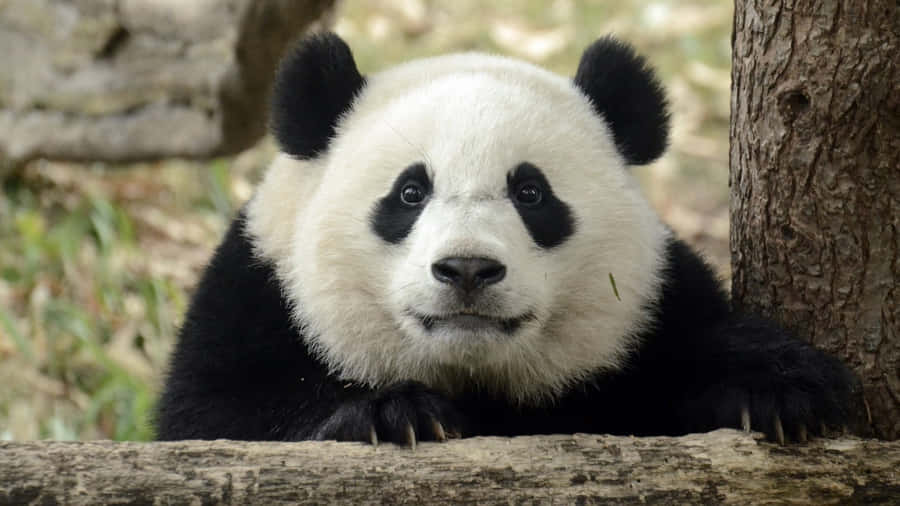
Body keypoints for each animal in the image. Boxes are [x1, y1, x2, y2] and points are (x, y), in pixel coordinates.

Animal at [155, 32, 860, 446]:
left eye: (531, 194)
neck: (476, 376)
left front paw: (773, 392)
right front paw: (392, 416)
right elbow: (215, 417)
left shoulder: (651, 317)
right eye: (409, 193)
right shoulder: (256, 293)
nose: (467, 269)